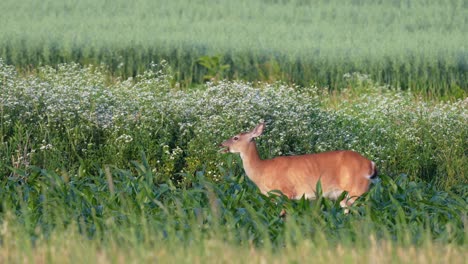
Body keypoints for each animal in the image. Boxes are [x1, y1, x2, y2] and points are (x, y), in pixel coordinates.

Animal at [219, 122, 376, 213]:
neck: (262, 169)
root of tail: (371, 164)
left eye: (235, 137)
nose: (221, 144)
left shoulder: (285, 192)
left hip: (356, 190)